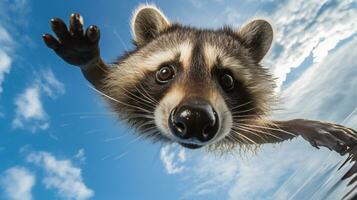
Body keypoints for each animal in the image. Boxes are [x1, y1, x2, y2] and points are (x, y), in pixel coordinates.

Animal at [42, 5, 356, 155]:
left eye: (227, 79)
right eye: (165, 72)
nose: (195, 119)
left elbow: (251, 130)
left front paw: (300, 124)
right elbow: (105, 81)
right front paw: (88, 59)